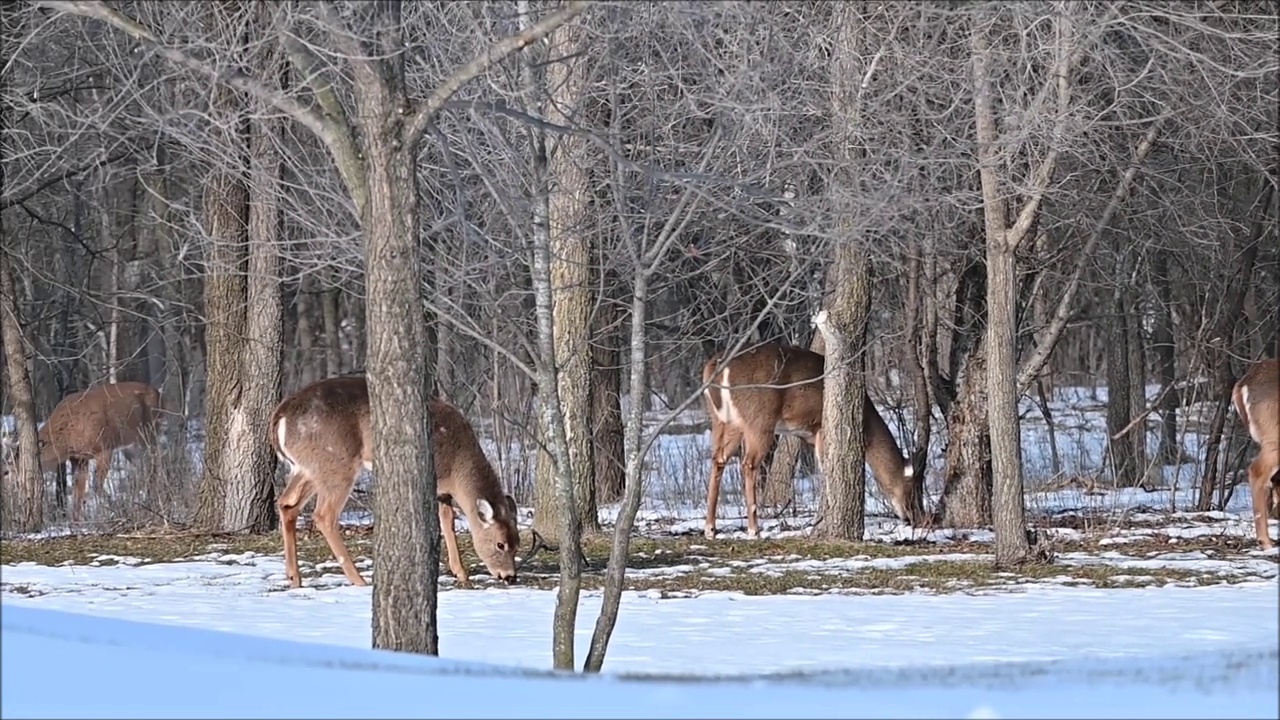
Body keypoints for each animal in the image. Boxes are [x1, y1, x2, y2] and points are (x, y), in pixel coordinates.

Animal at [0, 381, 165, 520]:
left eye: (6, 471)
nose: (4, 493)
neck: (66, 441)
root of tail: (158, 392)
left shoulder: (104, 447)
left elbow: (96, 486)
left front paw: (112, 509)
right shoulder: (78, 458)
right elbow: (78, 491)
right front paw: (76, 521)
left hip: (149, 431)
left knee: (156, 460)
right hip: (131, 446)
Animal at [272, 371, 522, 586]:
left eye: (517, 542)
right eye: (500, 544)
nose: (509, 576)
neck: (457, 465)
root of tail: (280, 418)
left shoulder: (442, 490)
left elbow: (448, 521)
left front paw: (460, 573)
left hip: (306, 468)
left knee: (286, 504)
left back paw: (294, 577)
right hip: (336, 463)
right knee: (324, 515)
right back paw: (358, 580)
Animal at [706, 340, 926, 538]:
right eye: (914, 488)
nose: (916, 518)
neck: (867, 423)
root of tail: (715, 367)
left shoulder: (810, 435)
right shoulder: (822, 428)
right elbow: (827, 468)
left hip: (724, 421)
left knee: (718, 458)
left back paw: (710, 529)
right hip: (759, 419)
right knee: (748, 463)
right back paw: (753, 530)